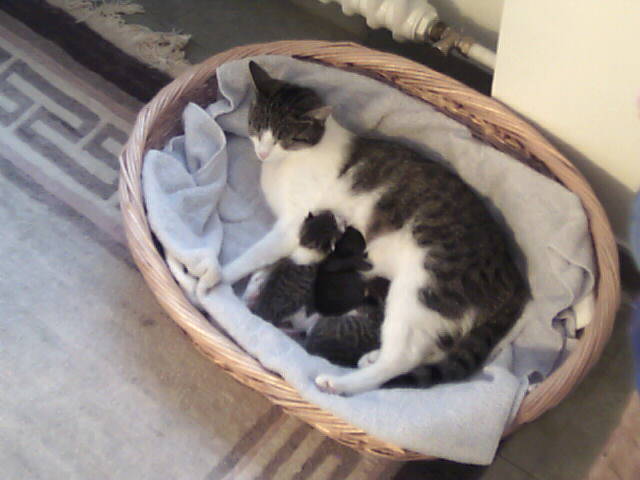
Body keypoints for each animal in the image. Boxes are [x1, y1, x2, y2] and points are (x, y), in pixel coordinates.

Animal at [221, 61, 529, 395]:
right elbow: (271, 262)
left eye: (282, 138)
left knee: (401, 359)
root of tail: (513, 274)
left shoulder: (293, 224)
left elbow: (254, 255)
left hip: (422, 289)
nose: (262, 152)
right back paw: (369, 357)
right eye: (255, 126)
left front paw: (218, 276)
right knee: (432, 349)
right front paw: (257, 285)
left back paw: (340, 382)